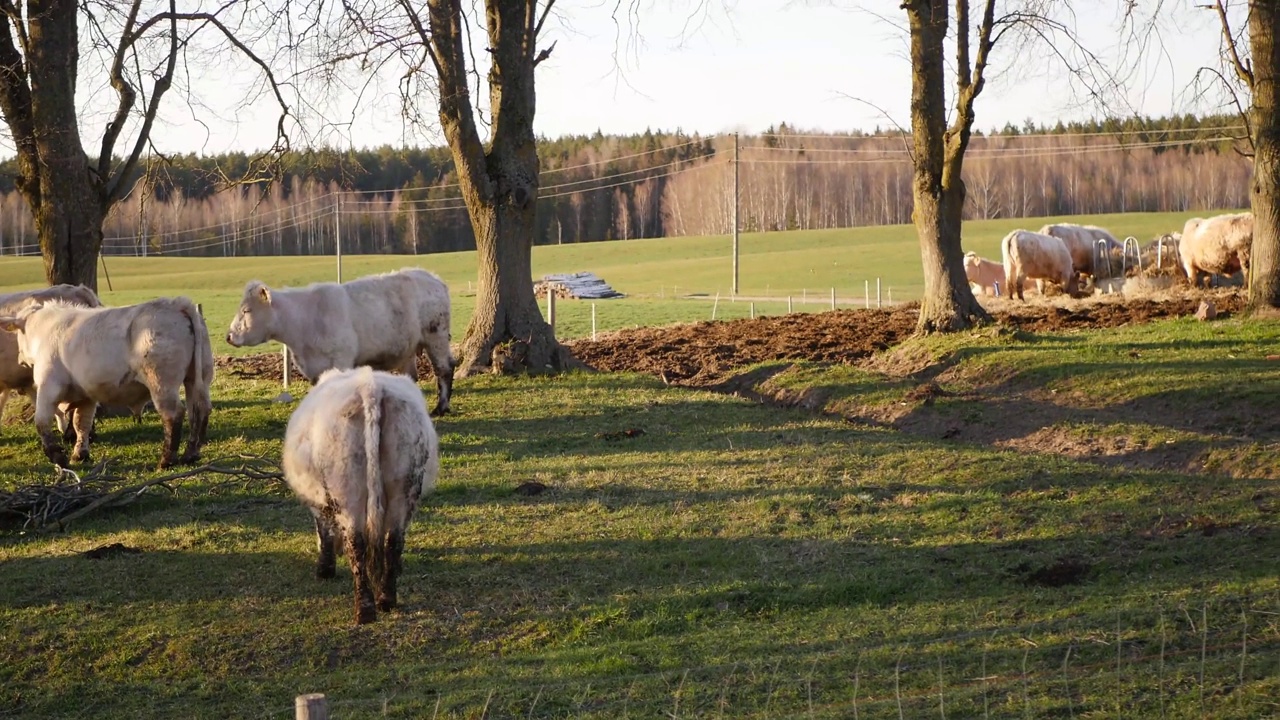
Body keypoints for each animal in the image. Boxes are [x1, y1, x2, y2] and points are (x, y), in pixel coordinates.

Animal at [0, 294, 212, 468]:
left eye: (18, 333)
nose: (19, 359)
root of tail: (177, 304)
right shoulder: (86, 396)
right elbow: (81, 423)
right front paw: (80, 455)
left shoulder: (48, 386)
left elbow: (42, 421)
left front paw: (57, 457)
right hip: (197, 378)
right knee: (199, 411)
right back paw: (190, 455)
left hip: (161, 383)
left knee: (174, 414)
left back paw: (166, 460)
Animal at [226, 266, 455, 415]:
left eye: (247, 310)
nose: (228, 336)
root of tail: (432, 277)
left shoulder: (341, 360)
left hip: (436, 336)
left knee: (444, 369)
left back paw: (441, 407)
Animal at [280, 363, 440, 622]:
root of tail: (371, 387)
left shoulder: (318, 502)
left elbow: (324, 531)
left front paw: (325, 568)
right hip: (404, 484)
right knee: (393, 540)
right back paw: (386, 599)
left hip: (346, 489)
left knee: (356, 543)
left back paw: (365, 610)